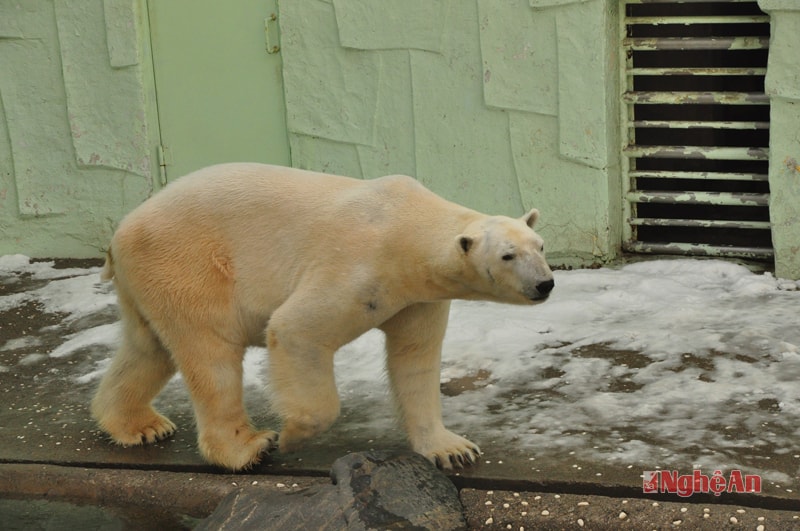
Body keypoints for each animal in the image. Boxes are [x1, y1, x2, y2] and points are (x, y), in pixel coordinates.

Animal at [90, 164, 552, 472]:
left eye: (540, 245)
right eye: (508, 255)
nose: (545, 284)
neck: (405, 228)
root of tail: (119, 234)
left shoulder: (418, 297)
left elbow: (415, 361)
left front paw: (452, 448)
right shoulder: (358, 265)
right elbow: (295, 330)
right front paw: (293, 433)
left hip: (149, 281)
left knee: (147, 348)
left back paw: (141, 426)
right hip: (189, 266)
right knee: (211, 354)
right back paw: (250, 447)